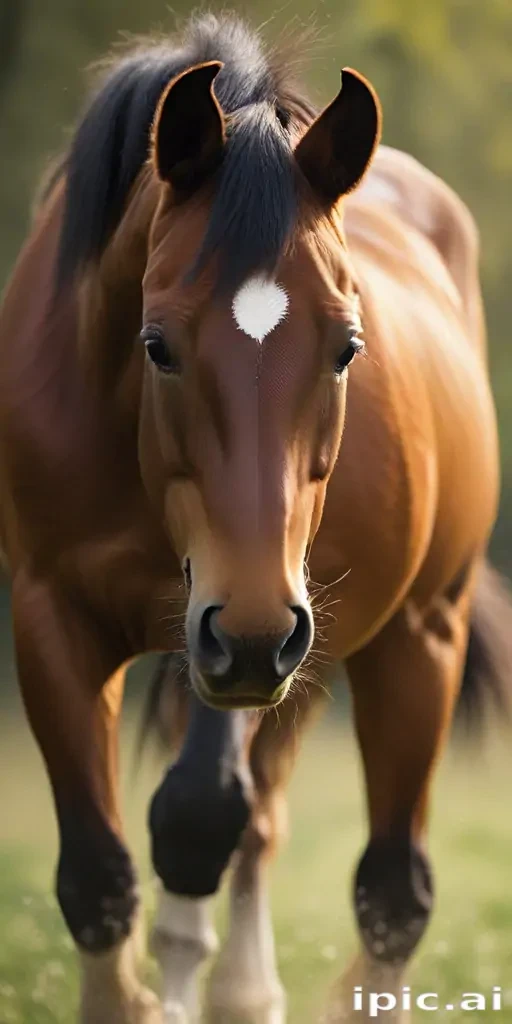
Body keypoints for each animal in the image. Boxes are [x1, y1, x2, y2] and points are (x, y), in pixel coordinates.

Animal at [0, 11, 509, 1024]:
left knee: (367, 879)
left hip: (394, 639)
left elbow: (207, 818)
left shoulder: (262, 622)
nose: (250, 636)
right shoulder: (53, 617)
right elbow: (99, 879)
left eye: (348, 345)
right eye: (157, 343)